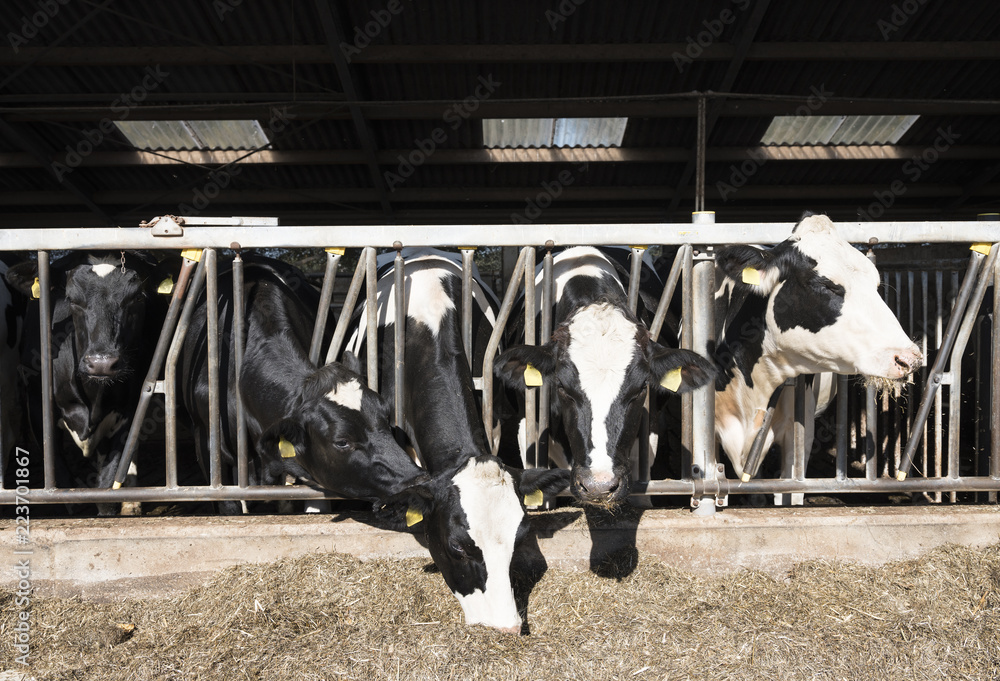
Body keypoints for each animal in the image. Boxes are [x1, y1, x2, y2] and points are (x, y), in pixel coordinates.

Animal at [5, 251, 173, 514]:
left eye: (137, 297)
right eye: (72, 299)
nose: (102, 363)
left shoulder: (129, 408)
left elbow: (107, 484)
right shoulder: (36, 408)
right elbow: (62, 483)